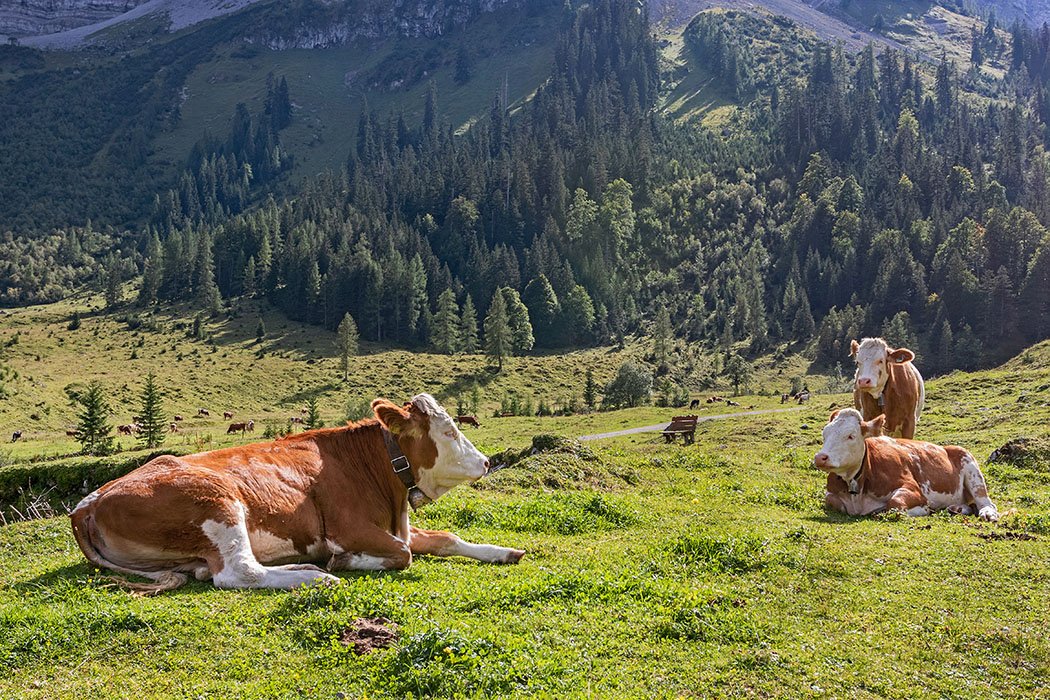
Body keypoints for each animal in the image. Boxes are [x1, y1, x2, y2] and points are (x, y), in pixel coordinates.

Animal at [69, 393, 523, 594]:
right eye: (448, 431)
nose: (485, 462)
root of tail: (89, 501)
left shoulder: (399, 526)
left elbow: (447, 538)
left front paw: (503, 552)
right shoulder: (350, 528)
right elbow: (403, 554)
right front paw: (344, 561)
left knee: (213, 570)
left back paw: (301, 567)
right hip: (216, 500)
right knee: (237, 573)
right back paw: (314, 575)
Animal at [814, 409, 998, 521]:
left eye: (851, 436)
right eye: (825, 433)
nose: (820, 457)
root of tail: (947, 447)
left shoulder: (912, 488)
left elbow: (894, 504)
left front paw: (923, 510)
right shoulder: (832, 494)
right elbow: (831, 500)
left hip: (972, 469)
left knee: (985, 502)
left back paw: (987, 513)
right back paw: (956, 508)